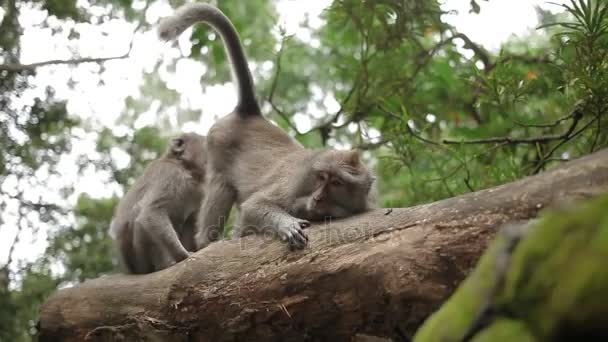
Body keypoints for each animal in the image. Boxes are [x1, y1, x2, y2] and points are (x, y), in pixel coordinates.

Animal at [108, 132, 205, 274]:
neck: (183, 167)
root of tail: (130, 269)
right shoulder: (170, 174)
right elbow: (151, 212)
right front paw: (183, 255)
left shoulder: (198, 191)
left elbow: (192, 220)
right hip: (140, 261)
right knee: (139, 213)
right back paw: (163, 265)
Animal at [158, 4, 376, 250]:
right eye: (321, 177)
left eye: (337, 182)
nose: (318, 197)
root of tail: (249, 113)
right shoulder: (293, 186)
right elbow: (254, 205)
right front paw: (287, 225)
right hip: (218, 144)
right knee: (222, 185)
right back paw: (207, 241)